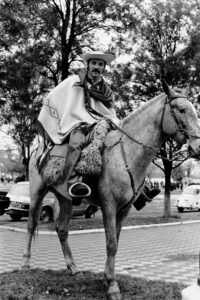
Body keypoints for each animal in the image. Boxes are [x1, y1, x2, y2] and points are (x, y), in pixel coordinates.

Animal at [21, 82, 200, 300]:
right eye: (181, 110)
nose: (198, 147)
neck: (127, 152)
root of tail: (41, 147)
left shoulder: (124, 209)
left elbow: (116, 242)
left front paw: (108, 278)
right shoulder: (109, 205)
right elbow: (111, 243)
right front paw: (112, 285)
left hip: (66, 199)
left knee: (62, 229)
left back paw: (73, 267)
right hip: (37, 191)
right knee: (31, 225)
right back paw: (26, 263)